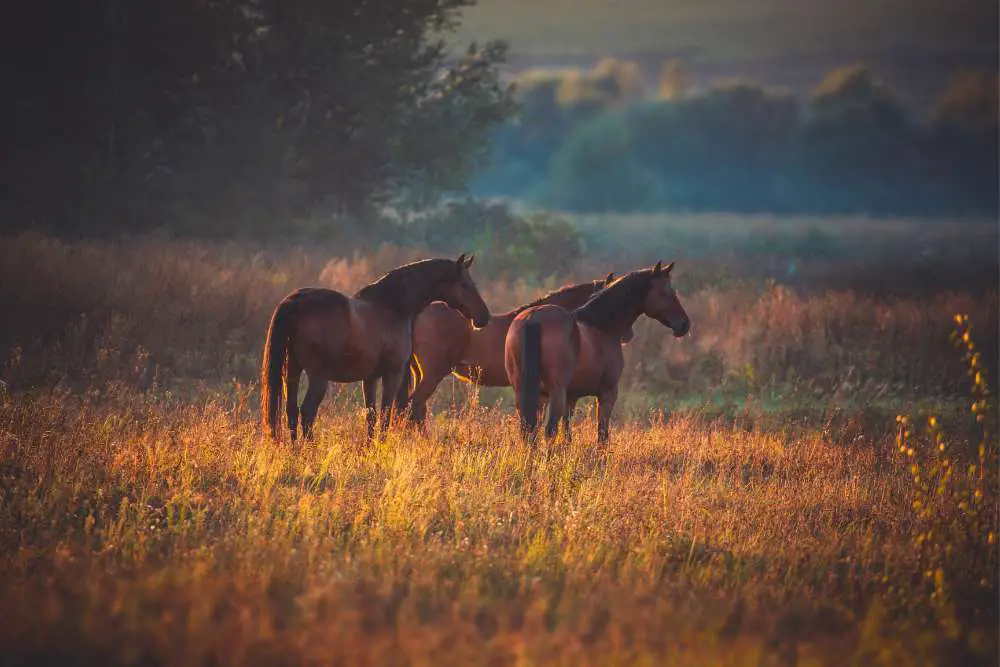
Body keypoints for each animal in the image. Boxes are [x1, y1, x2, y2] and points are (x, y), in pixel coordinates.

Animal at [260, 256, 490, 444]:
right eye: (465, 284)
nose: (484, 317)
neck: (392, 307)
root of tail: (295, 301)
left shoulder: (369, 378)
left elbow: (370, 416)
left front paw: (369, 449)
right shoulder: (392, 375)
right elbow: (385, 414)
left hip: (292, 372)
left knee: (290, 411)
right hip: (318, 378)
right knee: (307, 412)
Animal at [504, 260, 692, 444]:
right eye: (666, 292)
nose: (684, 324)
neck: (603, 326)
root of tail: (532, 318)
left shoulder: (571, 397)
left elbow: (567, 436)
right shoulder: (607, 394)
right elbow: (602, 436)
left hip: (526, 392)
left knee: (529, 433)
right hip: (555, 393)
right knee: (548, 432)